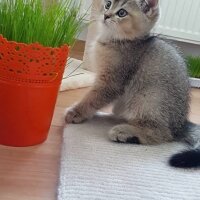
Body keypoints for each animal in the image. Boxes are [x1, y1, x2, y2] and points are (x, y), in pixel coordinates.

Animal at [65, 0, 200, 169]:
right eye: (108, 4)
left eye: (122, 13)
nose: (106, 15)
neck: (117, 40)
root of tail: (181, 125)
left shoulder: (111, 82)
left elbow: (92, 98)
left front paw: (76, 112)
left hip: (147, 97)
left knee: (162, 134)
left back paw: (125, 133)